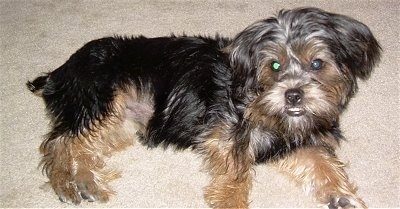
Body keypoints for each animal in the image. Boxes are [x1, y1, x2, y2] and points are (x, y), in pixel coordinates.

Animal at [28, 7, 382, 208]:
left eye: (317, 64)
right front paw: (231, 203)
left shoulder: (296, 140)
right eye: (275, 65)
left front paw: (342, 197)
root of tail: (60, 71)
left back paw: (84, 180)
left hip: (123, 122)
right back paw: (69, 182)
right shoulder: (225, 130)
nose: (293, 95)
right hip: (100, 93)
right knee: (60, 142)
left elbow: (321, 161)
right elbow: (237, 170)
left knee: (82, 143)